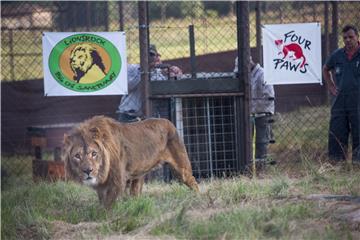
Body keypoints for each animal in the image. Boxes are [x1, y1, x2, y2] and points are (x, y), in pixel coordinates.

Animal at [64, 115, 200, 207]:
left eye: (94, 153)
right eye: (77, 156)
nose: (88, 171)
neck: (103, 170)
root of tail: (168, 121)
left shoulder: (117, 181)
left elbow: (109, 205)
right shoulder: (103, 187)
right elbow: (103, 202)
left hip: (182, 170)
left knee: (193, 182)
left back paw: (197, 198)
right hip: (138, 175)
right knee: (135, 194)